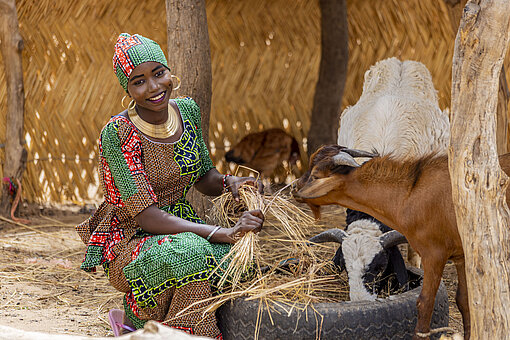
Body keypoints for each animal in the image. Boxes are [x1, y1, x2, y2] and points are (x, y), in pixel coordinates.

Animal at [292, 144, 510, 340]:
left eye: (315, 176)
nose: (294, 187)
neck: (411, 194)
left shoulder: (434, 254)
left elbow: (425, 303)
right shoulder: (462, 255)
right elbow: (465, 301)